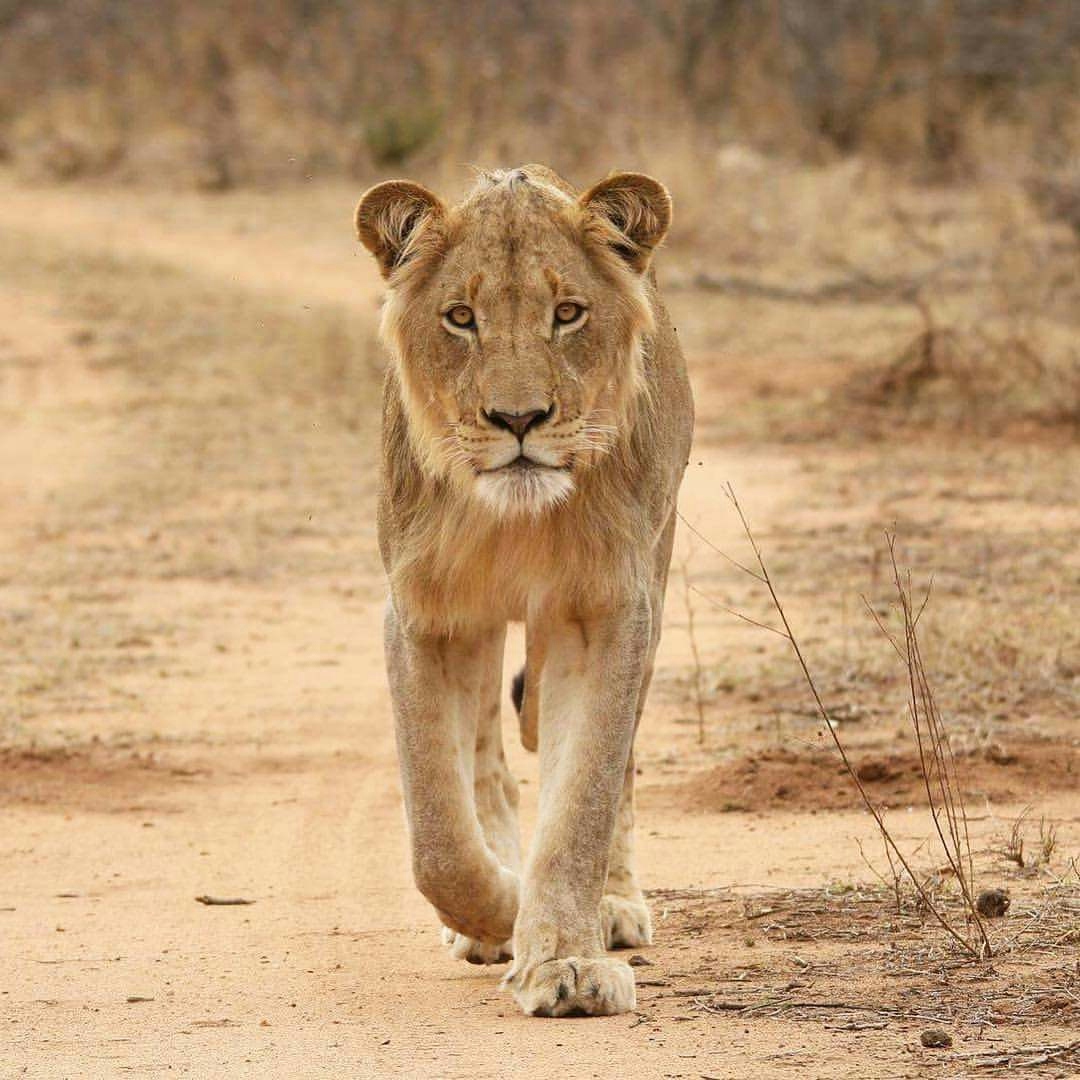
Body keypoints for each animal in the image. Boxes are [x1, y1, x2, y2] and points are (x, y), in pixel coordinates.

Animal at [352, 164, 691, 1015]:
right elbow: (438, 834)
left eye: (567, 313)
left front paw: (566, 957)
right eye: (461, 318)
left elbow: (584, 800)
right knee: (486, 764)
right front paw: (503, 909)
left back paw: (614, 905)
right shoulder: (423, 616)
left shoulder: (608, 611)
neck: (514, 522)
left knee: (617, 766)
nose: (518, 417)